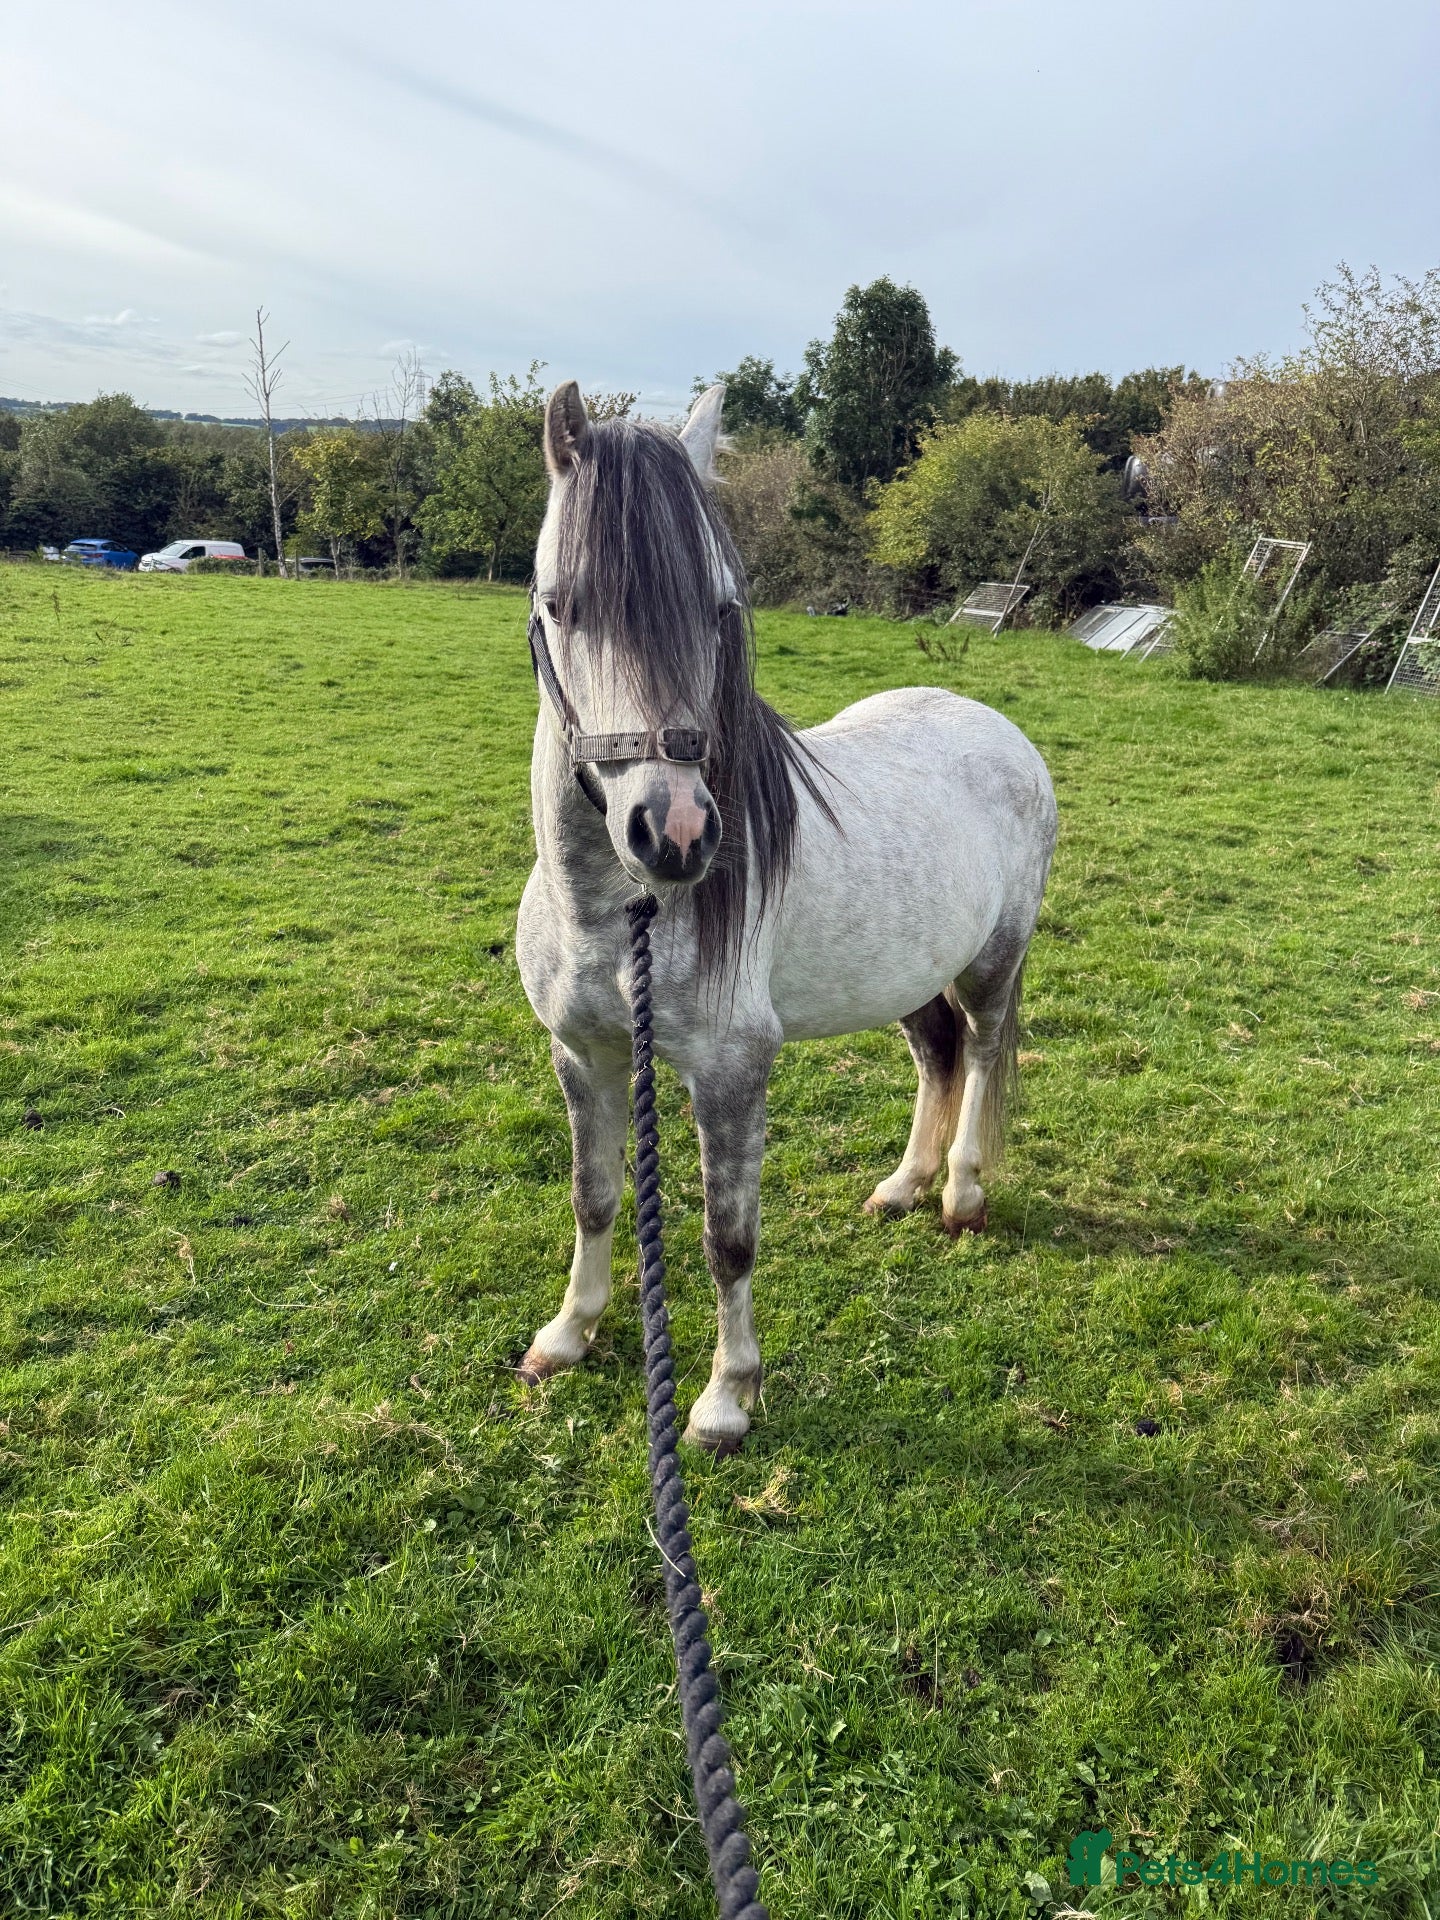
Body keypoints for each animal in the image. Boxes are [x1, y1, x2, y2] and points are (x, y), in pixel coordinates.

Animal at [515, 381, 1058, 1454]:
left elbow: (728, 1239)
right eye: (562, 603)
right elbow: (595, 1199)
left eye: (721, 606)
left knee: (980, 1051)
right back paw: (901, 1188)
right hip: (902, 971)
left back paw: (961, 1194)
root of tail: (996, 728)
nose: (675, 832)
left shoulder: (732, 1072)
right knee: (937, 1053)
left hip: (993, 961)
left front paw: (728, 1397)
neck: (614, 916)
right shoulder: (581, 1054)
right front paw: (568, 1334)